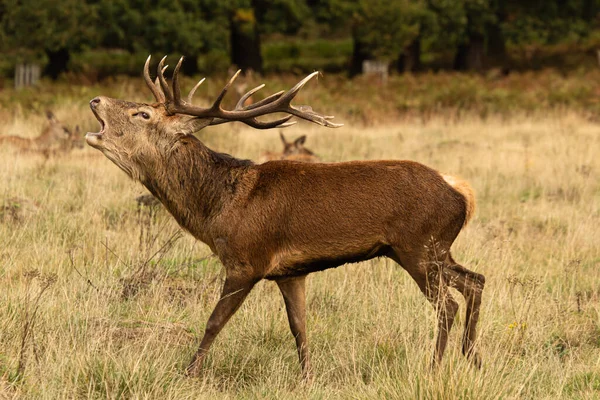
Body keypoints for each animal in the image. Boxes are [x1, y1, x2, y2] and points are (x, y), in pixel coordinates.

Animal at [86, 55, 486, 378]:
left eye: (143, 113)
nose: (96, 99)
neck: (217, 210)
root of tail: (462, 192)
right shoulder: (289, 272)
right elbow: (299, 328)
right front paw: (307, 377)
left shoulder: (246, 261)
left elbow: (214, 322)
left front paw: (188, 373)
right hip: (434, 250)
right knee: (475, 281)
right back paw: (473, 359)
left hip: (417, 246)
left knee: (448, 303)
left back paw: (434, 367)